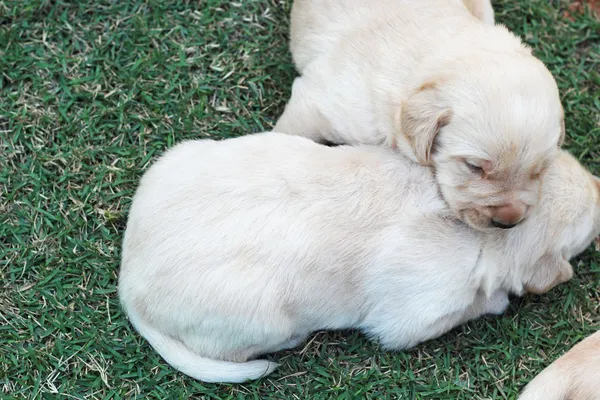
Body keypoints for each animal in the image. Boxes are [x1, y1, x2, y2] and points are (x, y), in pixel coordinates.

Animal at [118, 134, 600, 384]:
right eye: (585, 229)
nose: (597, 183)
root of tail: (128, 284)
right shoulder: (410, 321)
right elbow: (481, 301)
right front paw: (498, 298)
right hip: (263, 321)